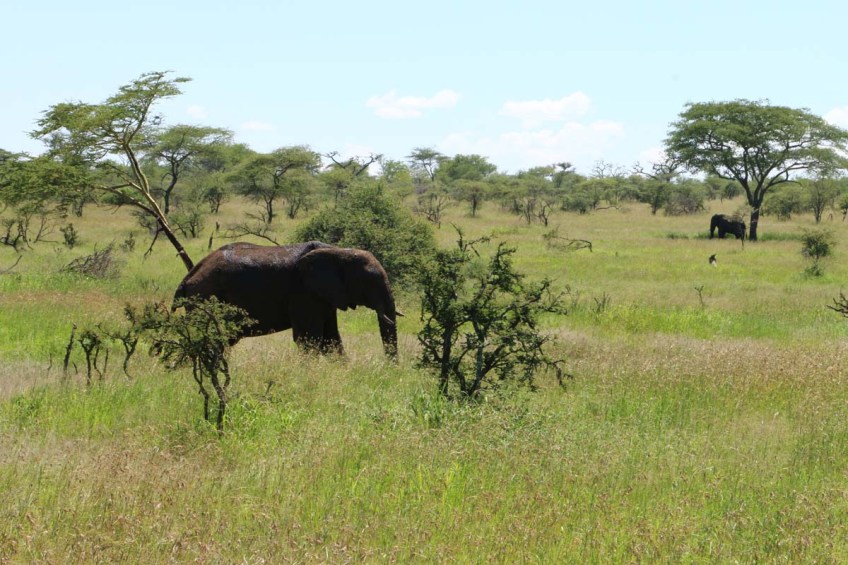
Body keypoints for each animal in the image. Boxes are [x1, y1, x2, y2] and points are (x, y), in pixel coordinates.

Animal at [173, 241, 398, 357]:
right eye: (370, 282)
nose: (390, 371)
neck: (338, 250)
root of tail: (188, 277)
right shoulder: (302, 291)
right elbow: (309, 339)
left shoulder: (325, 295)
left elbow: (331, 339)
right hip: (206, 297)